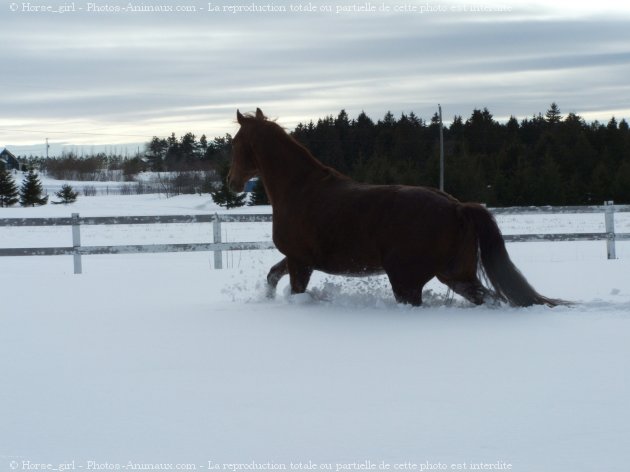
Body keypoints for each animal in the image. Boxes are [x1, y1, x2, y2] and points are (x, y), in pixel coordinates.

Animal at [228, 109, 564, 308]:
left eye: (234, 143)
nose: (232, 182)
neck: (300, 188)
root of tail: (457, 207)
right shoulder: (295, 259)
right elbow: (272, 276)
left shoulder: (301, 261)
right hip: (454, 274)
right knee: (486, 297)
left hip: (407, 281)